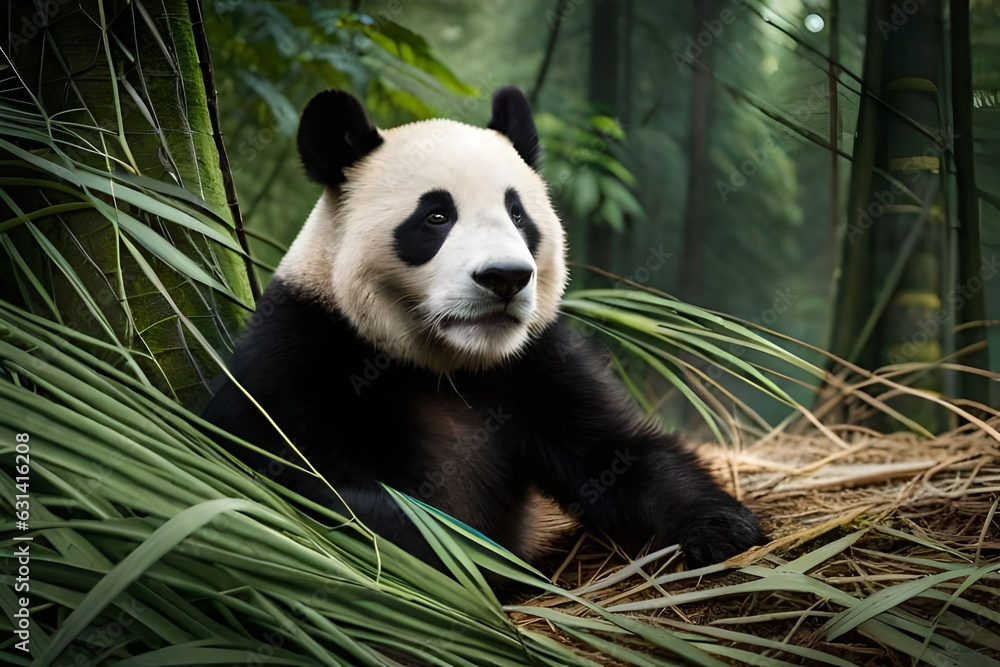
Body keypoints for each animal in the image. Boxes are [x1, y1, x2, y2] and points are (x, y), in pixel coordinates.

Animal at [203, 86, 763, 571]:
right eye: (436, 216)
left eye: (518, 215)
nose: (506, 278)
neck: (447, 364)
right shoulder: (297, 358)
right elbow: (309, 493)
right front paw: (469, 549)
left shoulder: (536, 362)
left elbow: (615, 456)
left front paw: (722, 529)